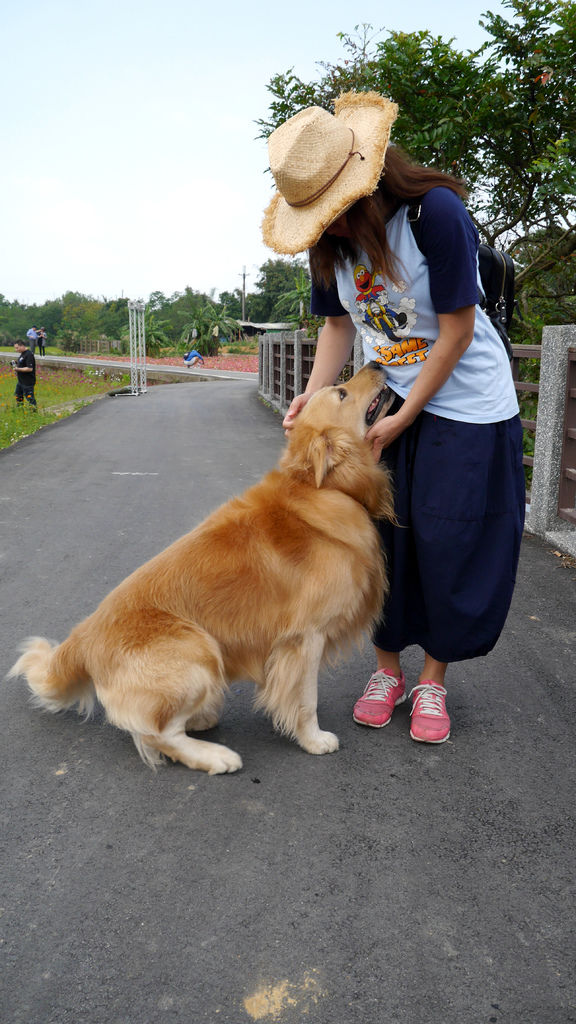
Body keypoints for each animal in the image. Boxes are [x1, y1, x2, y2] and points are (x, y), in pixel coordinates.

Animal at [10, 364, 393, 770]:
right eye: (341, 392)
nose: (378, 365)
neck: (321, 487)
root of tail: (83, 638)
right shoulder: (305, 637)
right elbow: (306, 701)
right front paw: (314, 740)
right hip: (199, 650)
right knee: (156, 734)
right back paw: (214, 756)